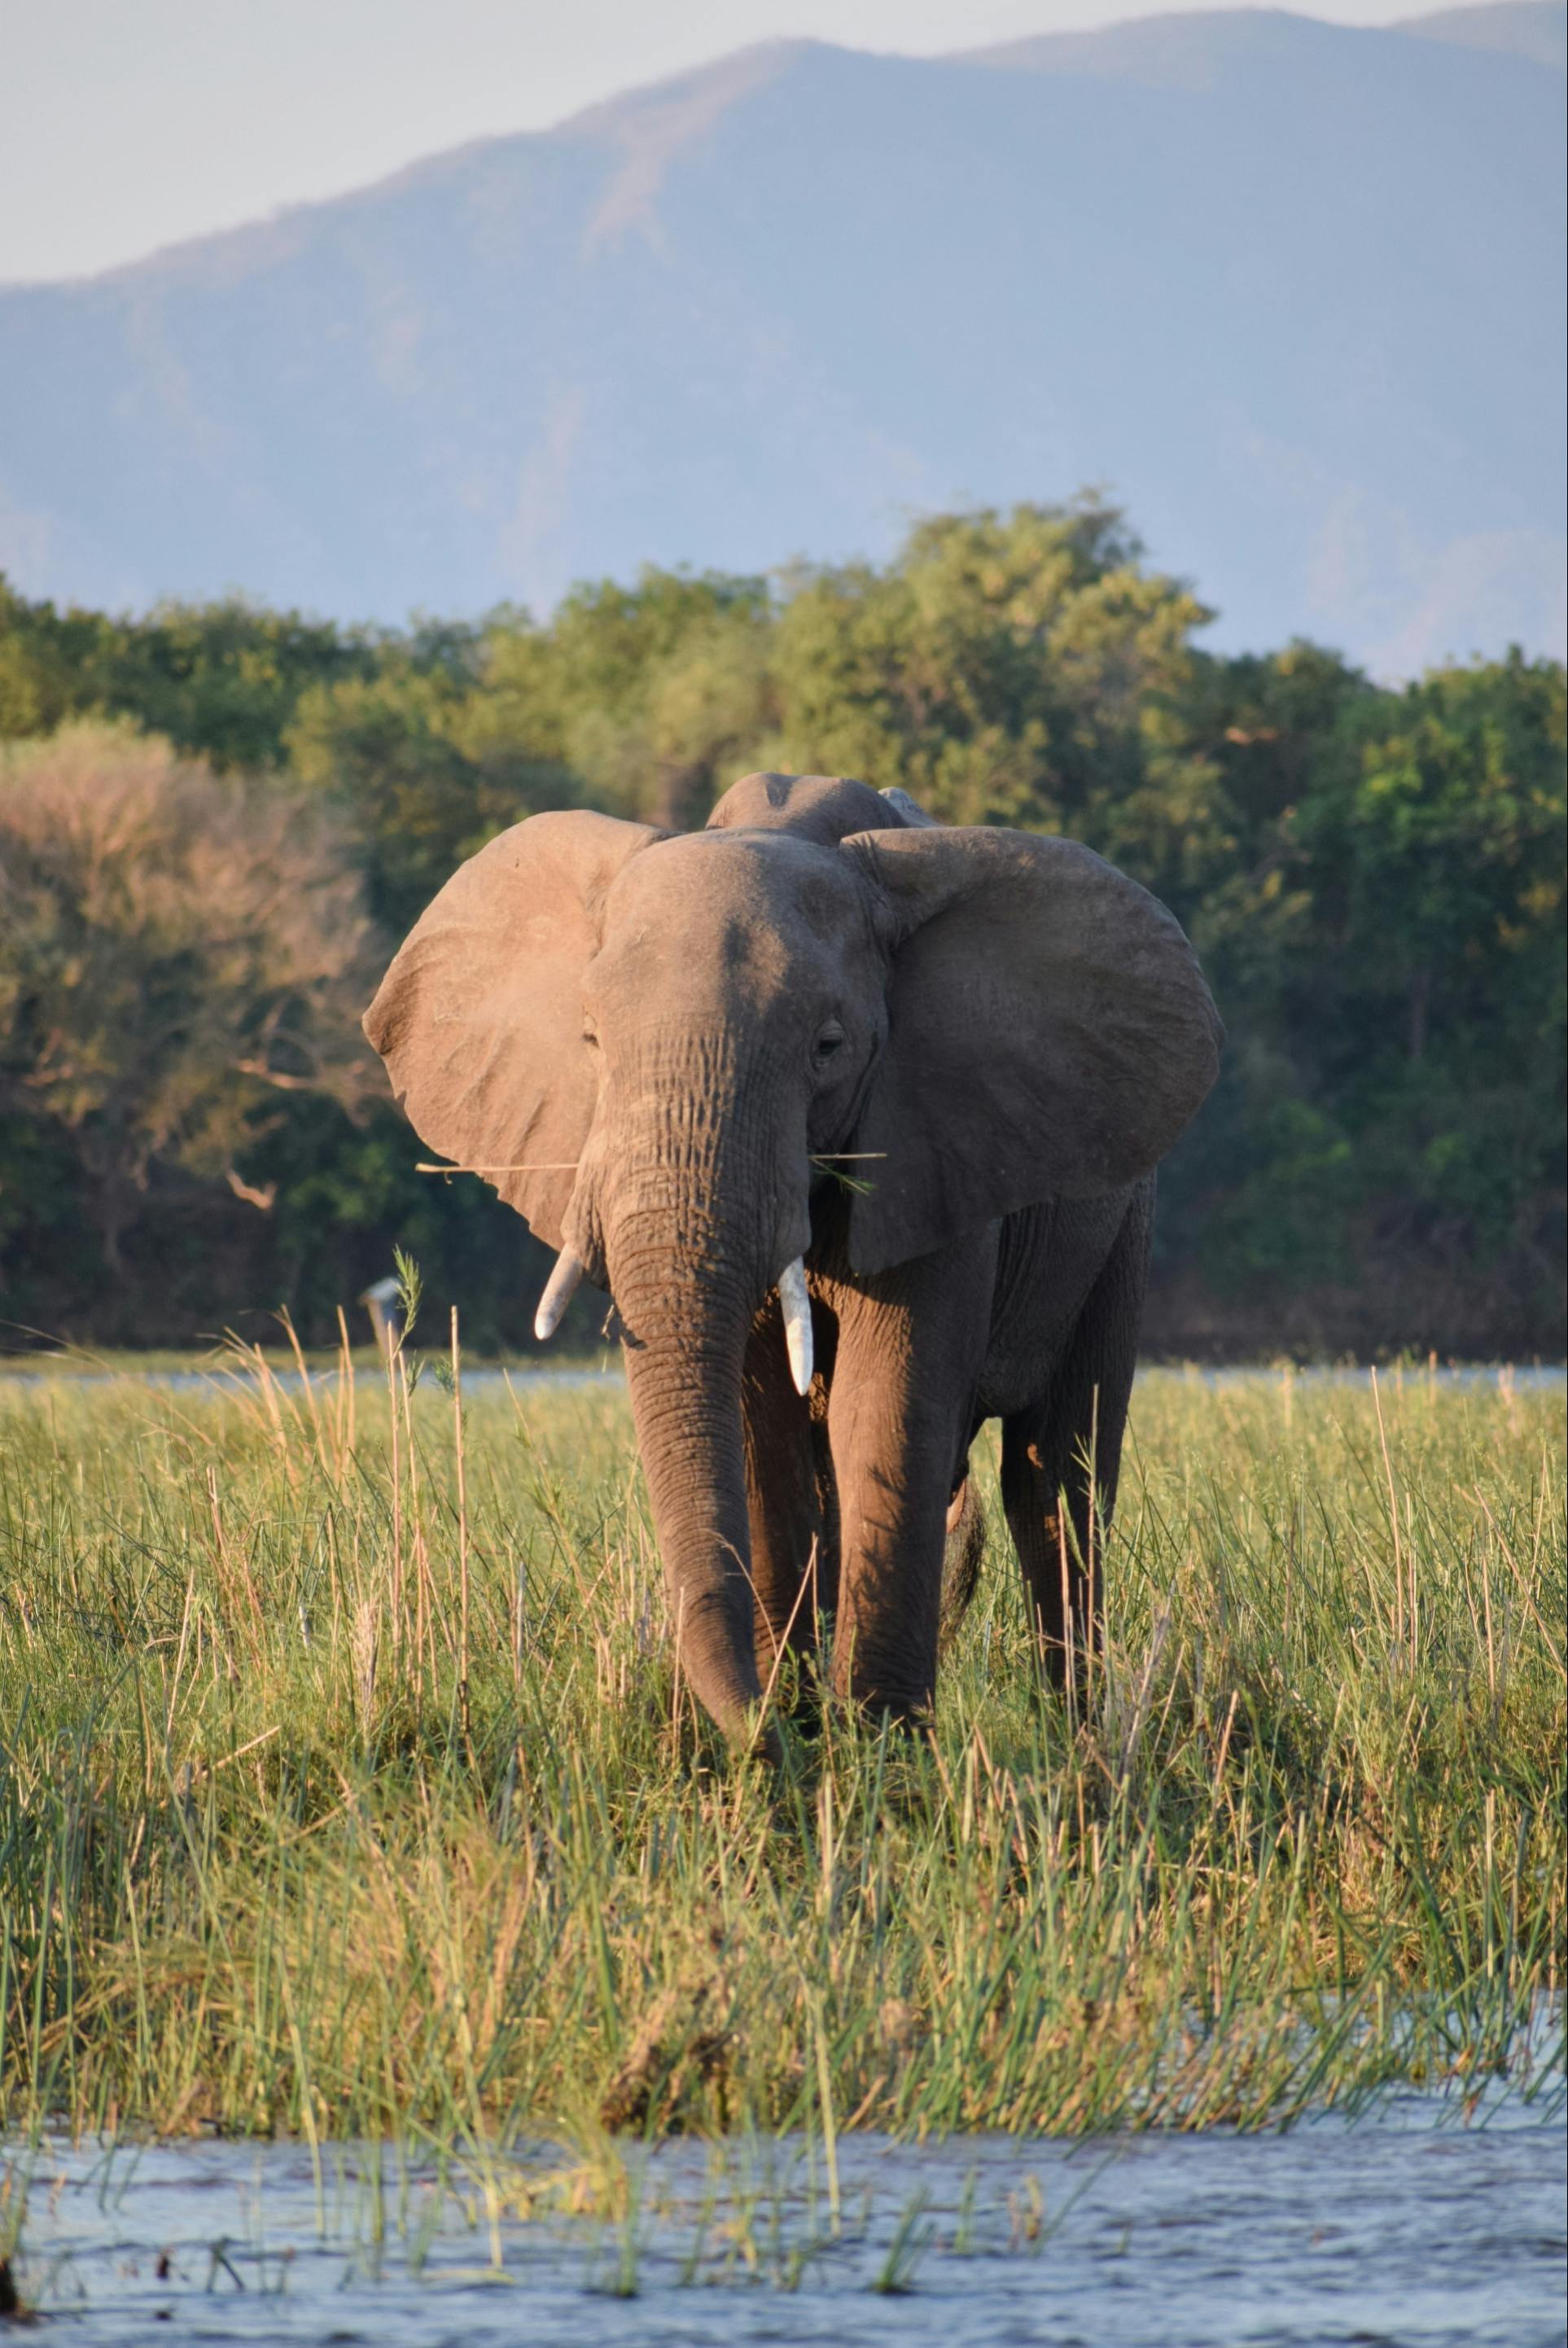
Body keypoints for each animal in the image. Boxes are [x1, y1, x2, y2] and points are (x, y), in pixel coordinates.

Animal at [363, 771, 1222, 1754]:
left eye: (827, 1048)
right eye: (590, 1042)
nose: (757, 1733)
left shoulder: (931, 1140)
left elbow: (884, 1408)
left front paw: (883, 1749)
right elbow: (760, 1427)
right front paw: (801, 1729)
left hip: (1123, 1220)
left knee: (1058, 1478)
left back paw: (1075, 1740)